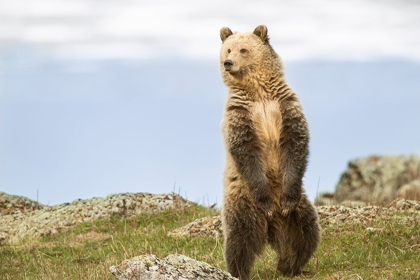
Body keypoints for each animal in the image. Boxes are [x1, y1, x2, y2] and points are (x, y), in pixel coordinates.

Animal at [220, 25, 322, 278]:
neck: (259, 93)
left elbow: (296, 144)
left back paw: (292, 266)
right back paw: (239, 271)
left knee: (305, 233)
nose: (228, 62)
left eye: (243, 49)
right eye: (228, 48)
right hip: (242, 201)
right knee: (239, 240)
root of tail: (272, 222)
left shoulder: (285, 107)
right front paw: (264, 197)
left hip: (299, 208)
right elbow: (246, 152)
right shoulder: (239, 116)